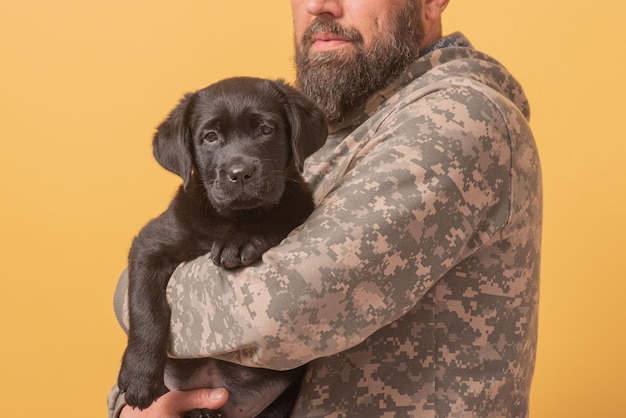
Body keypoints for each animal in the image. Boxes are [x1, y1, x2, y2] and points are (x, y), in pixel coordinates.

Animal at [119, 76, 330, 416]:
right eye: (210, 137)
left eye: (266, 129)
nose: (240, 173)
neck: (228, 218)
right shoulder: (149, 245)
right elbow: (145, 306)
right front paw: (139, 376)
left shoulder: (299, 209)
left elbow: (277, 216)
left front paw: (241, 240)